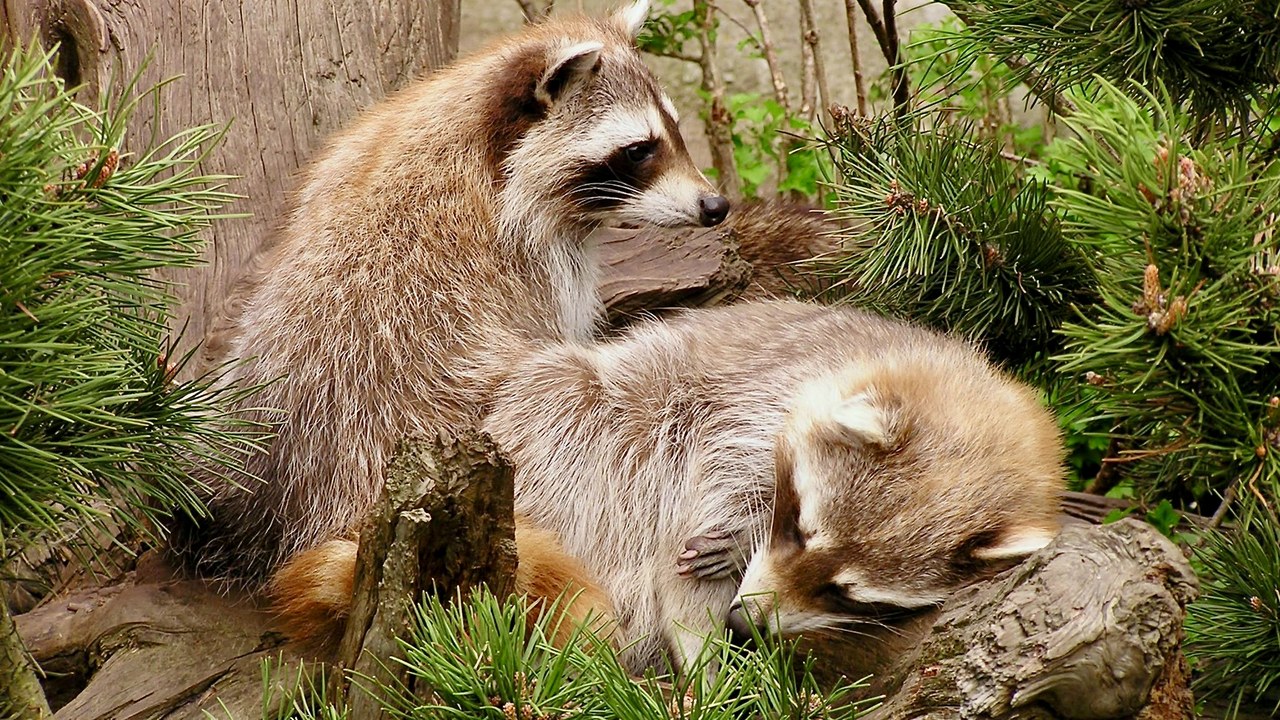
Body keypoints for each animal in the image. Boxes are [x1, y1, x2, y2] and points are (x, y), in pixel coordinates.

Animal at [169, 0, 728, 582]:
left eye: (675, 129)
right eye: (639, 150)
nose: (716, 206)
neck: (472, 134)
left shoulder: (353, 151)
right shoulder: (533, 266)